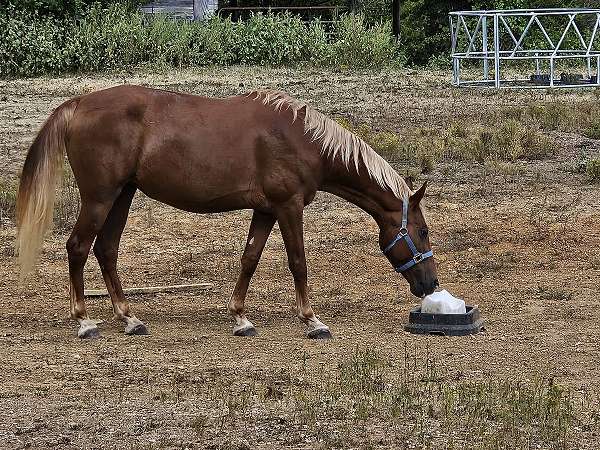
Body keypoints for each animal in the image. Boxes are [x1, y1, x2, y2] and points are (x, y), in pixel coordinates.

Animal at [15, 87, 436, 338]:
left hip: (122, 196)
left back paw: (129, 317)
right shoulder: (288, 206)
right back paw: (84, 320)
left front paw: (240, 316)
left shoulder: (266, 210)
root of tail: (78, 105)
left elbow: (249, 259)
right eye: (424, 232)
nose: (430, 284)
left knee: (106, 250)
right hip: (100, 198)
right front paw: (312, 320)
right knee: (78, 247)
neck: (303, 139)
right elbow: (298, 262)